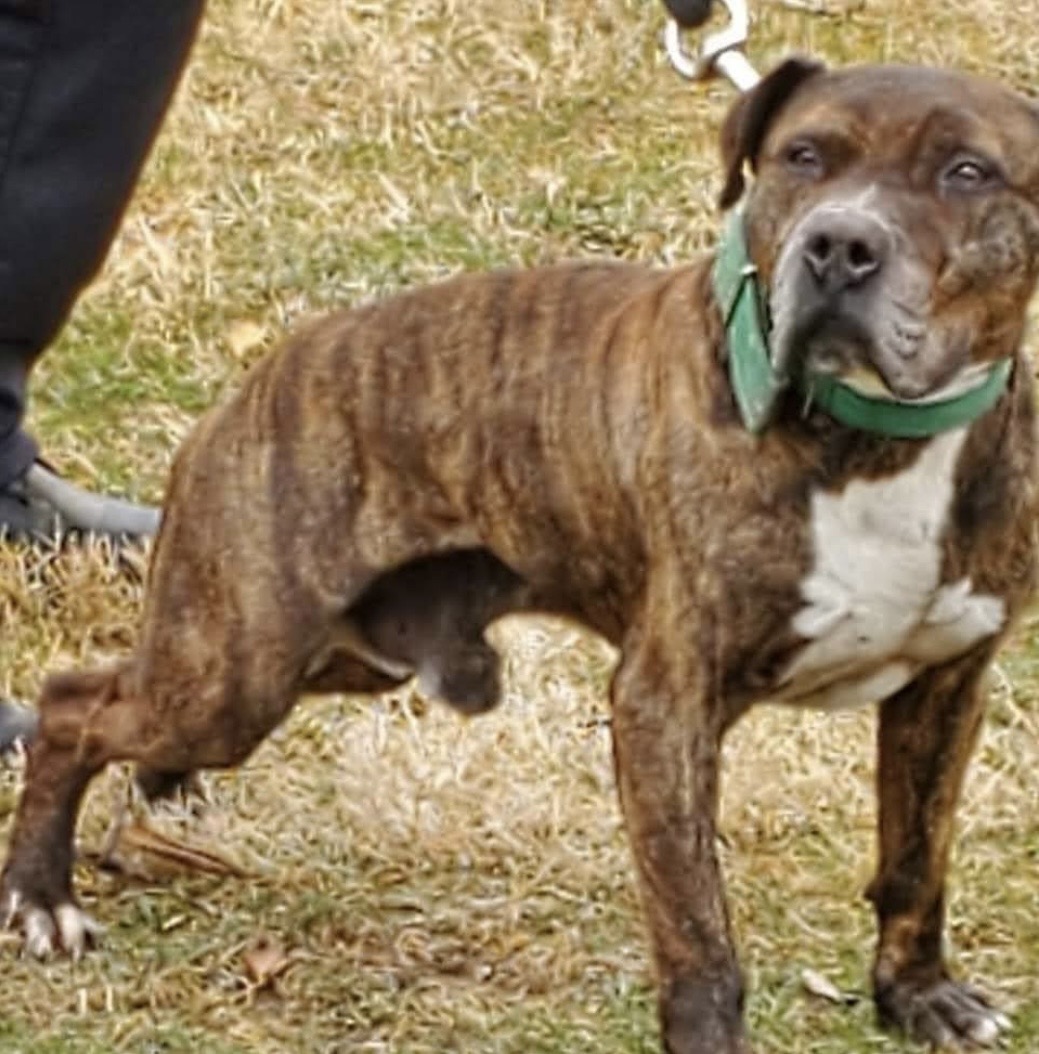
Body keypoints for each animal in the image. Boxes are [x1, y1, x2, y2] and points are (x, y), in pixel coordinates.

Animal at [3, 59, 1038, 1053]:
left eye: (966, 172)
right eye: (803, 157)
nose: (837, 246)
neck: (875, 440)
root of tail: (244, 392)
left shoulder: (946, 685)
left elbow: (914, 863)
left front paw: (916, 996)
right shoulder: (665, 706)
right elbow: (697, 931)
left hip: (333, 658)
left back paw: (157, 798)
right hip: (236, 670)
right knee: (73, 707)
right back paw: (43, 897)